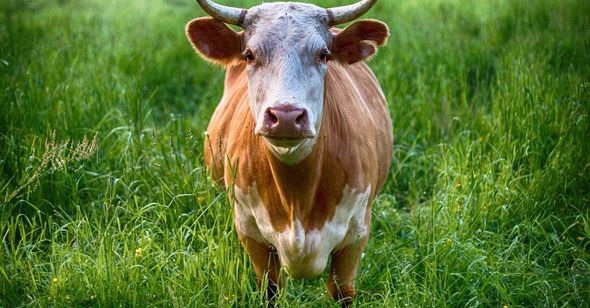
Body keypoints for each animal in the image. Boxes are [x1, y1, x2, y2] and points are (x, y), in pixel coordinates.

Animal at [186, 0, 394, 304]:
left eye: (323, 54)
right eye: (249, 54)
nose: (285, 116)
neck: (297, 198)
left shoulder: (356, 235)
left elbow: (342, 293)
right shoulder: (250, 233)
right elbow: (270, 291)